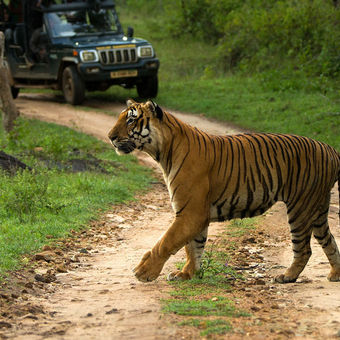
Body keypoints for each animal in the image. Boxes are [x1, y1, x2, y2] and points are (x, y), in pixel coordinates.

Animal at [108, 99, 340, 284]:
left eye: (130, 120)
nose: (110, 137)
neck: (163, 151)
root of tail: (330, 149)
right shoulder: (193, 213)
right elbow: (193, 247)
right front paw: (187, 274)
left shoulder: (190, 212)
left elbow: (166, 242)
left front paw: (144, 272)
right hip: (318, 209)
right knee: (329, 241)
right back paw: (335, 274)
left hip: (301, 207)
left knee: (304, 249)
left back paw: (287, 276)